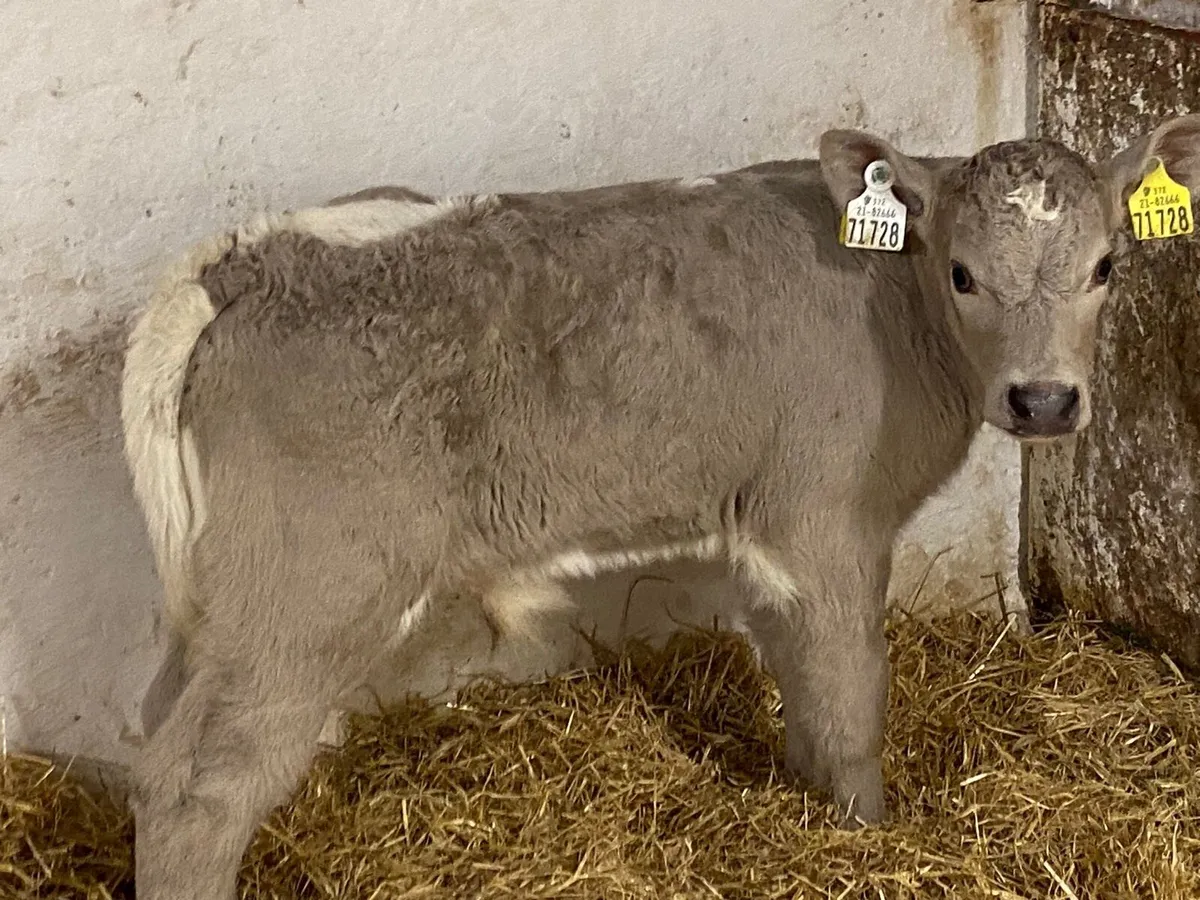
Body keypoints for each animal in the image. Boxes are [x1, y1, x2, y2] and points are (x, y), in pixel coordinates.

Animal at [121, 114, 1200, 899]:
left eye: (1106, 266)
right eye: (964, 273)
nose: (1044, 400)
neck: (898, 307)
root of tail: (242, 258)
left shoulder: (764, 524)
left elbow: (801, 678)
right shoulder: (824, 517)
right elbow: (852, 690)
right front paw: (865, 833)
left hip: (223, 603)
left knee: (157, 732)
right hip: (310, 592)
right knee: (198, 788)